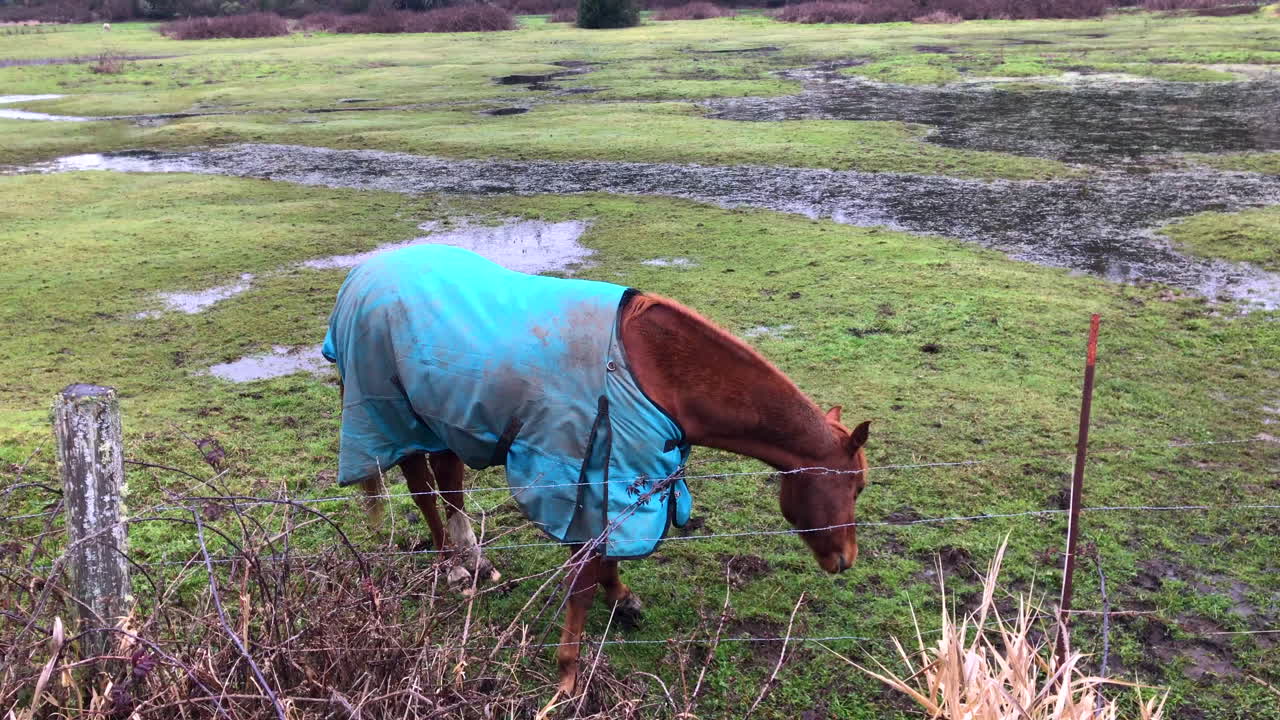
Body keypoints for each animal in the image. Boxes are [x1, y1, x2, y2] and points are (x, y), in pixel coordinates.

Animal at [324, 244, 871, 694]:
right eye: (857, 486)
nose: (846, 560)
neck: (655, 373)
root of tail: (360, 276)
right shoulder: (579, 474)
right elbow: (583, 579)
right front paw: (567, 677)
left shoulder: (614, 475)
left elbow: (607, 555)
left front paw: (622, 599)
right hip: (395, 417)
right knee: (422, 490)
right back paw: (452, 568)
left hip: (441, 421)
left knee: (449, 483)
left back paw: (476, 562)